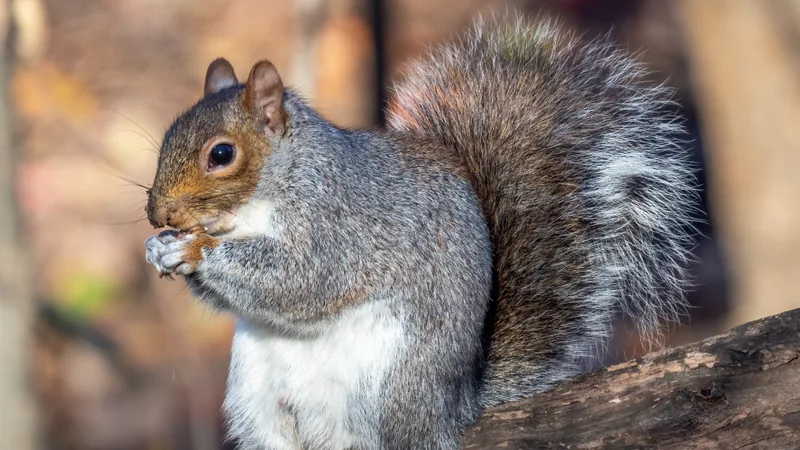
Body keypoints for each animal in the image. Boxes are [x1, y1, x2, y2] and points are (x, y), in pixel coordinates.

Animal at [143, 15, 696, 450]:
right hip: (254, 398)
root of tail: (456, 406)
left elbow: (302, 278)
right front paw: (159, 250)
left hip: (390, 387)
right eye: (167, 135)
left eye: (221, 154)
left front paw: (196, 249)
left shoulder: (336, 224)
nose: (158, 215)